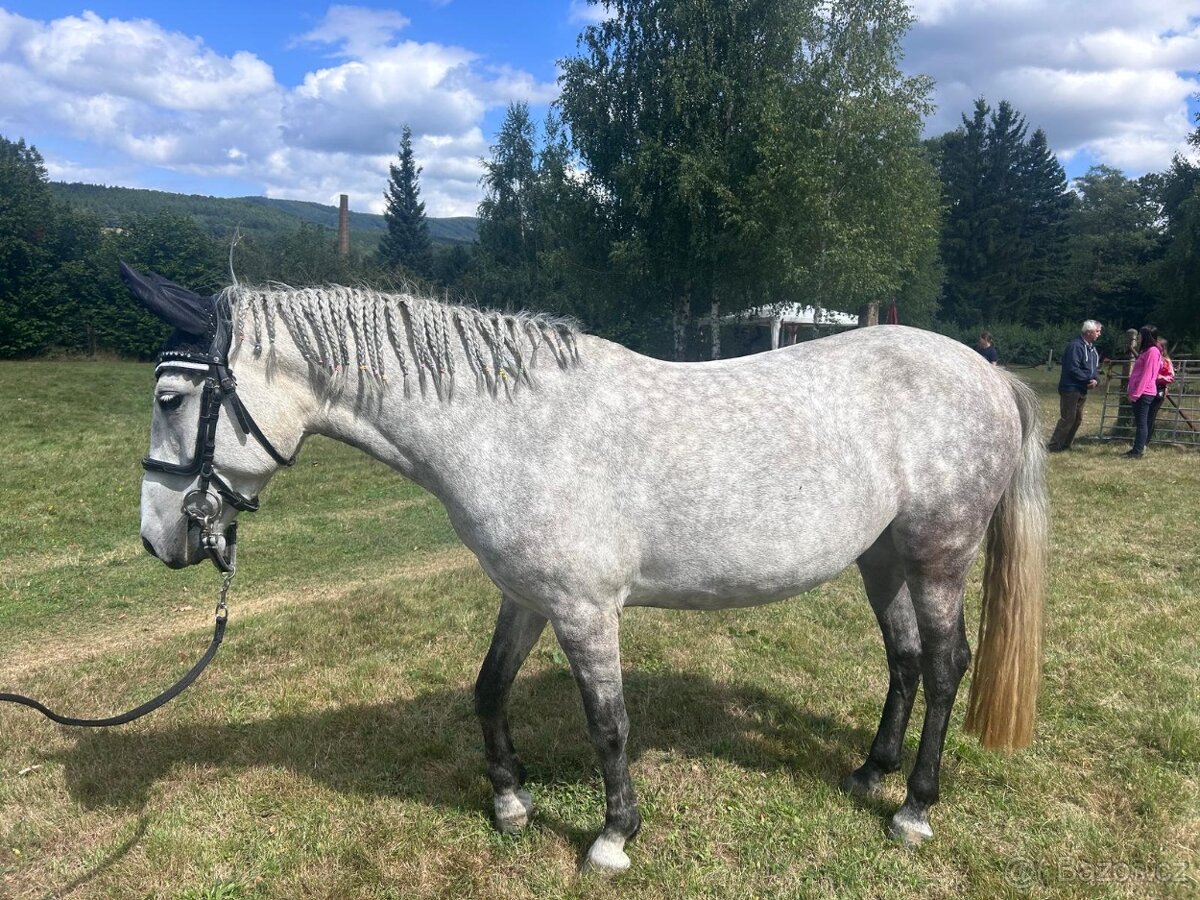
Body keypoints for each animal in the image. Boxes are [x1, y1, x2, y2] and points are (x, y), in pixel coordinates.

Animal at [123, 263, 1047, 873]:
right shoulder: (526, 598)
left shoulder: (585, 610)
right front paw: (510, 802)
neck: (512, 427)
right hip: (881, 558)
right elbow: (488, 689)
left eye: (171, 398)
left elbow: (608, 722)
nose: (158, 540)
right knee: (903, 660)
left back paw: (914, 808)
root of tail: (985, 369)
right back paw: (868, 772)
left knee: (945, 666)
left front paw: (611, 838)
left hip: (938, 555)